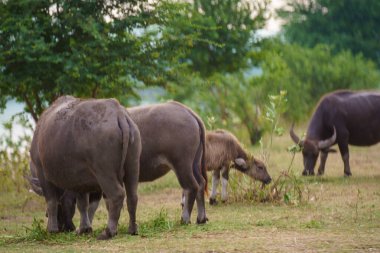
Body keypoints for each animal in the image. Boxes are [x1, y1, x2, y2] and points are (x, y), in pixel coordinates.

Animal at [29, 101, 208, 229]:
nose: (63, 227)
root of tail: (188, 111)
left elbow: (91, 204)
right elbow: (95, 205)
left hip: (182, 165)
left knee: (191, 187)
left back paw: (185, 218)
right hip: (194, 164)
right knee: (201, 184)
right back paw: (201, 218)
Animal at [30, 95, 141, 239]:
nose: (64, 227)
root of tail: (118, 114)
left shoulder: (42, 172)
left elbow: (51, 201)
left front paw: (51, 229)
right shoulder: (79, 180)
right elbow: (83, 204)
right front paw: (84, 228)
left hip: (104, 173)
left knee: (117, 195)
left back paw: (108, 232)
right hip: (133, 166)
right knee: (132, 196)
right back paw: (132, 229)